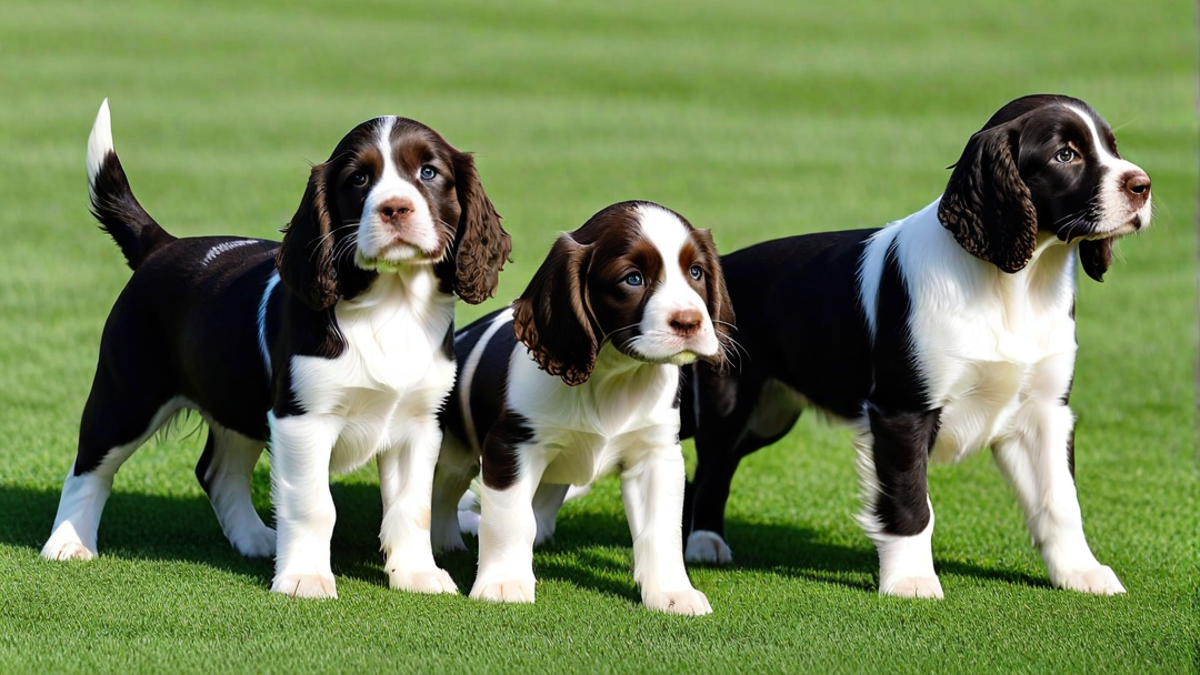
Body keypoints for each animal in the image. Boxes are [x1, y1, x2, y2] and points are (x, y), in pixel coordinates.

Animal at [42, 97, 508, 595]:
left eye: (428, 172)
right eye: (359, 179)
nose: (395, 208)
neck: (390, 305)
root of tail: (161, 246)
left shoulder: (419, 424)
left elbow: (410, 507)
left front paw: (418, 575)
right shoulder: (301, 419)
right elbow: (314, 505)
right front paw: (305, 579)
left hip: (236, 402)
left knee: (217, 472)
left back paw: (254, 539)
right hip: (129, 393)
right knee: (90, 465)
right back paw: (67, 543)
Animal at [432, 196, 729, 612]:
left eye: (696, 272)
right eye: (632, 279)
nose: (688, 322)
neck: (613, 377)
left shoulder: (656, 453)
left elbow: (660, 529)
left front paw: (672, 592)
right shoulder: (511, 445)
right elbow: (510, 518)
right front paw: (504, 583)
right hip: (453, 453)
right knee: (444, 491)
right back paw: (444, 543)